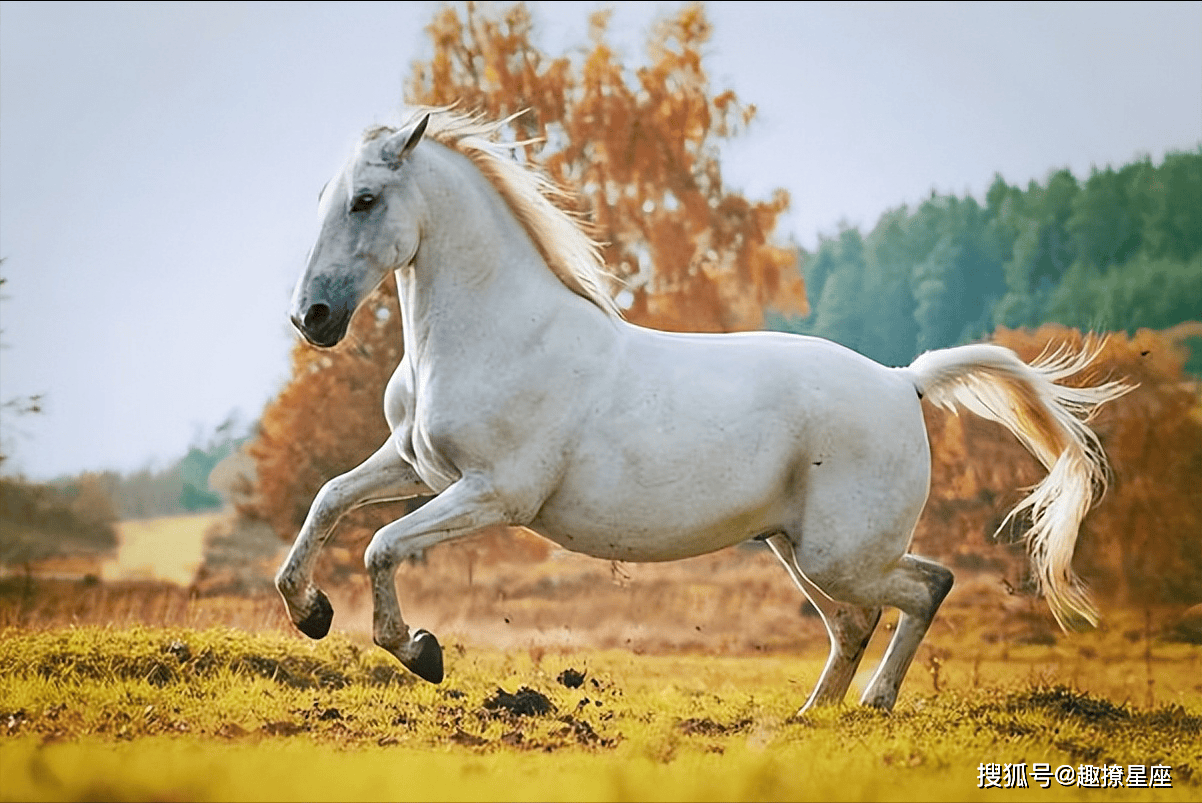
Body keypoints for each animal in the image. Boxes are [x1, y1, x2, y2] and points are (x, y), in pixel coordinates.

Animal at [275, 108, 1131, 712]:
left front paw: (420, 649)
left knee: (927, 586)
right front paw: (310, 611)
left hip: (839, 552)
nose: (310, 317)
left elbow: (379, 545)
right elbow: (328, 502)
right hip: (799, 547)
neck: (494, 331)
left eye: (365, 200)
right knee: (857, 621)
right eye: (321, 198)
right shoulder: (416, 465)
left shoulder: (493, 493)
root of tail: (902, 381)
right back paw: (810, 717)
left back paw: (874, 703)